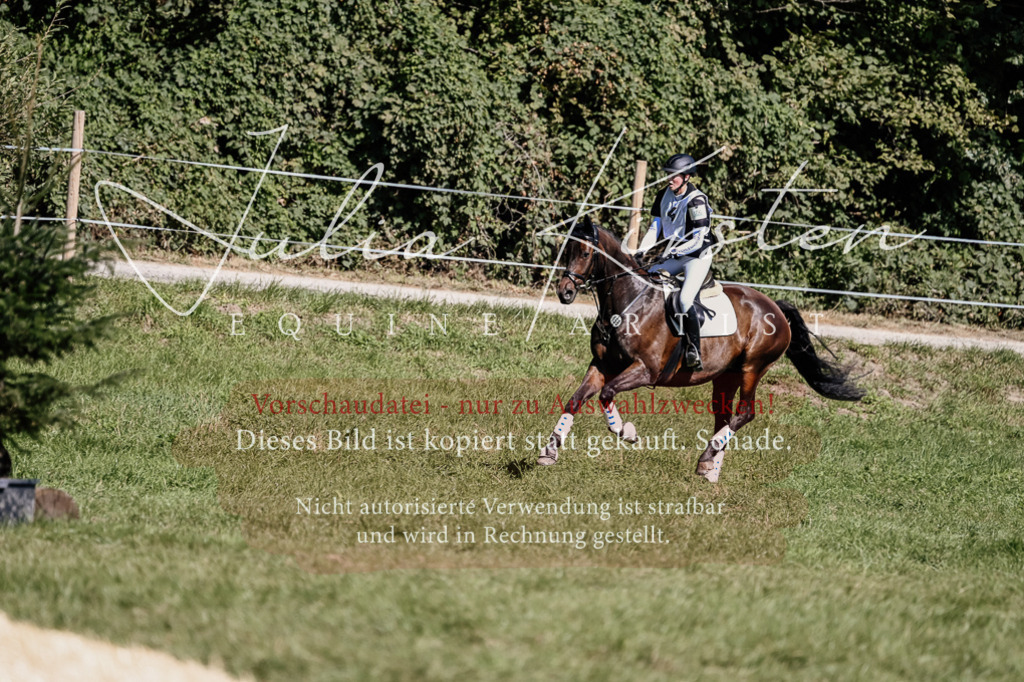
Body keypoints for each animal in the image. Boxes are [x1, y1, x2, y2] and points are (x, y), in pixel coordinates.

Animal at [540, 217, 864, 481]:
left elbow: (607, 394)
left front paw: (625, 432)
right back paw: (710, 469)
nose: (565, 292)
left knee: (745, 413)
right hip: (725, 376)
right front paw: (550, 450)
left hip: (753, 367)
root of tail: (775, 307)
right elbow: (575, 400)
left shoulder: (646, 370)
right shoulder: (602, 365)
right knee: (724, 418)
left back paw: (708, 457)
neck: (627, 302)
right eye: (566, 251)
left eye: (585, 253)